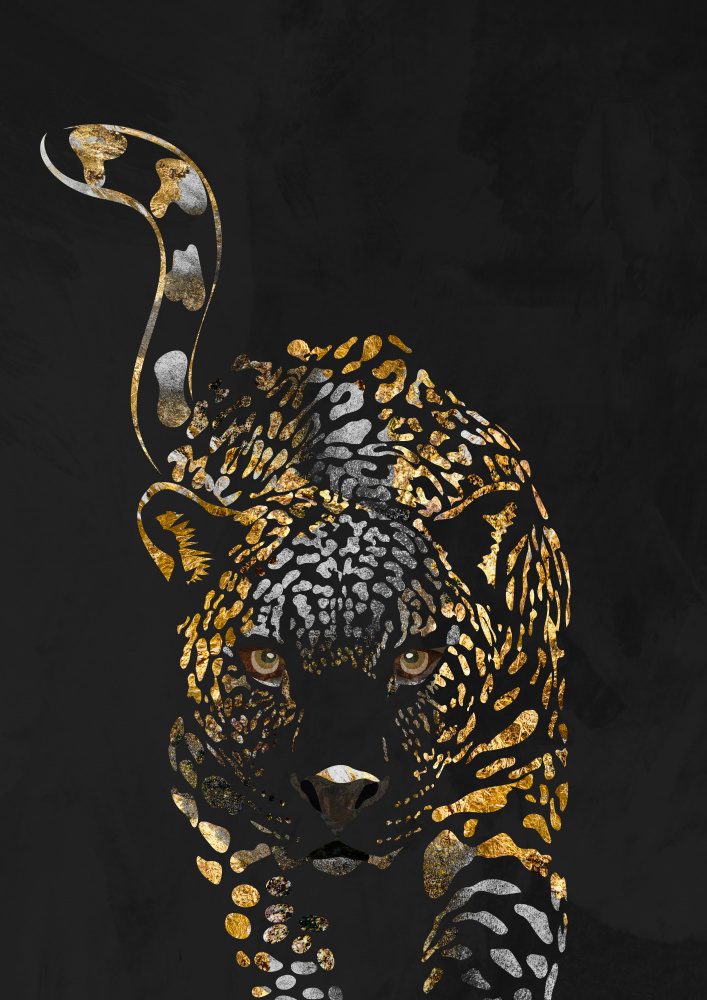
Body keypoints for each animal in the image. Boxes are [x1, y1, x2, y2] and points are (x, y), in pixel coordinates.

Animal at [42, 123, 571, 1000]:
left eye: (416, 660)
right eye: (263, 661)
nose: (339, 790)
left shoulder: (514, 800)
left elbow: (495, 945)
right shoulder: (218, 803)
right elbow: (278, 939)